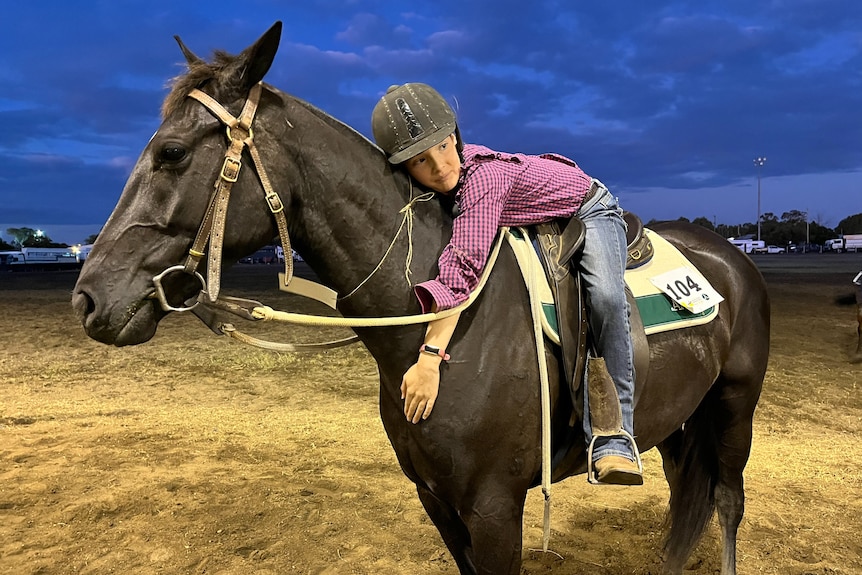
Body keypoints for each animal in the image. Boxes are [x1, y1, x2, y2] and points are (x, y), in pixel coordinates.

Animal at [72, 22, 768, 575]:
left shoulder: (495, 508)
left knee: (725, 502)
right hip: (680, 418)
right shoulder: (437, 499)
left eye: (172, 152)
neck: (444, 334)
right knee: (685, 497)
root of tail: (730, 257)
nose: (88, 299)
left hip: (734, 407)